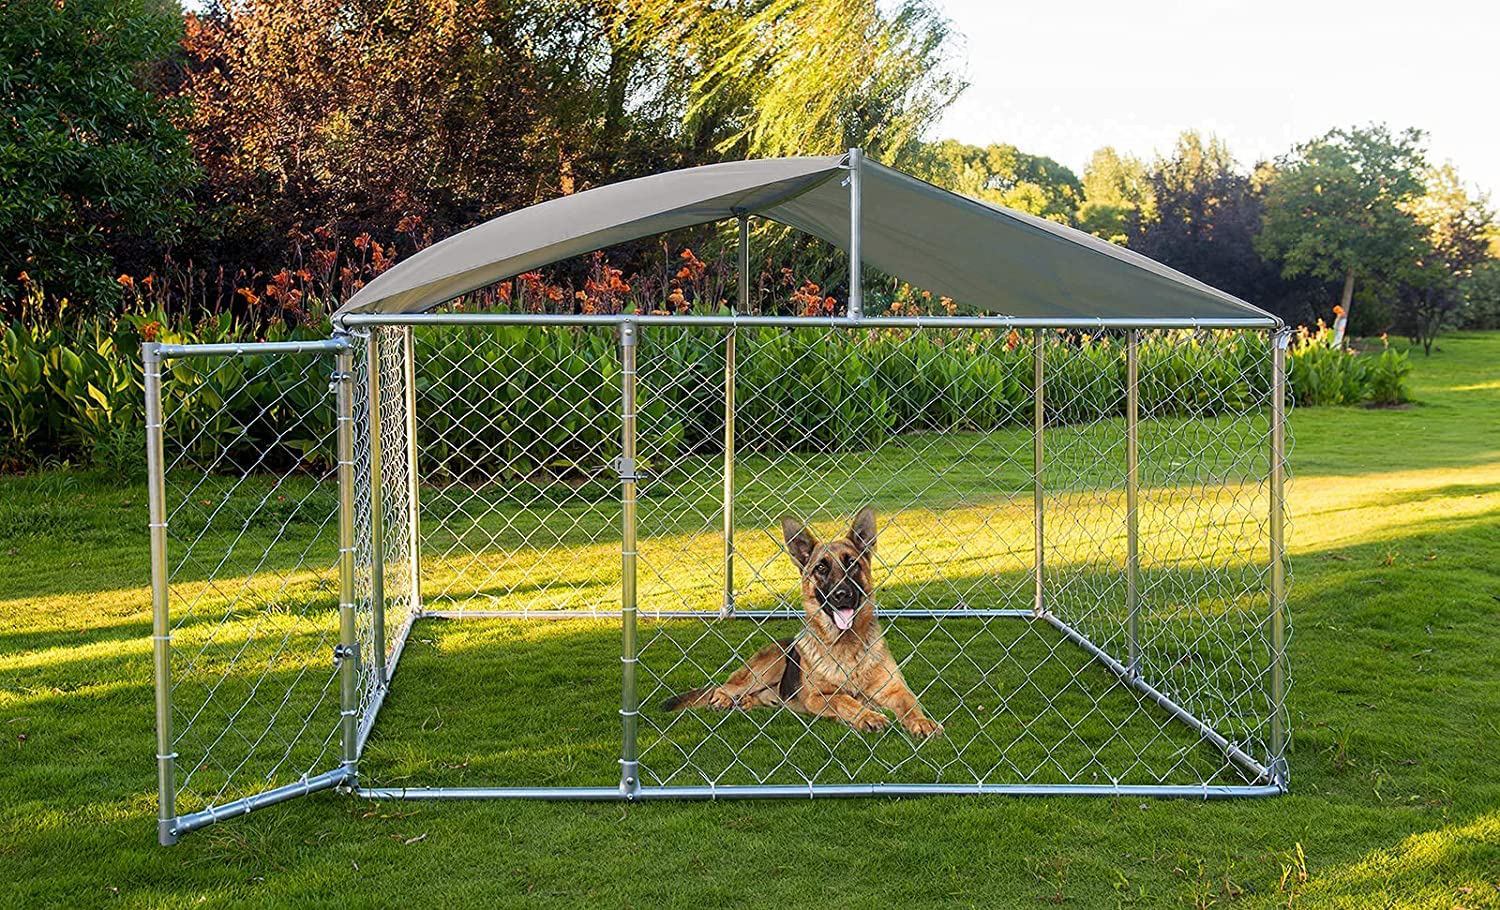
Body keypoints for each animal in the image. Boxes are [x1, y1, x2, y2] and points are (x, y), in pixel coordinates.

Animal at [660, 509, 936, 737]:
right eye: (821, 568)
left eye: (851, 563)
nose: (842, 594)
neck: (846, 648)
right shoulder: (817, 697)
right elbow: (845, 700)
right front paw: (868, 716)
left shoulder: (895, 690)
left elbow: (910, 703)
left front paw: (923, 722)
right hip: (768, 666)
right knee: (724, 687)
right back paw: (724, 701)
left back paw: (747, 704)